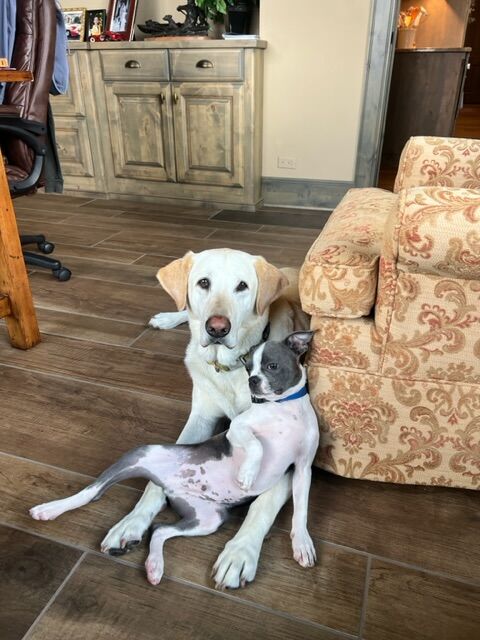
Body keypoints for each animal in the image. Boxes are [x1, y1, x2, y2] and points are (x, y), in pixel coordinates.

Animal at [30, 332, 319, 586]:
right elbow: (255, 444)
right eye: (248, 368)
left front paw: (302, 543)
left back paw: (155, 566)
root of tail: (169, 487)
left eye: (272, 366)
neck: (285, 409)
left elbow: (302, 509)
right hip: (139, 455)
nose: (253, 381)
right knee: (91, 493)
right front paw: (248, 473)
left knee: (159, 529)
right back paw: (49, 509)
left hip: (207, 519)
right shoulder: (237, 429)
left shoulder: (302, 469)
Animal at [100, 248, 310, 589]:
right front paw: (131, 521)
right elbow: (155, 481)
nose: (217, 328)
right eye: (203, 283)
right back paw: (167, 317)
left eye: (242, 286)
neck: (232, 367)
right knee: (183, 311)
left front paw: (239, 553)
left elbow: (263, 503)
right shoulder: (198, 420)